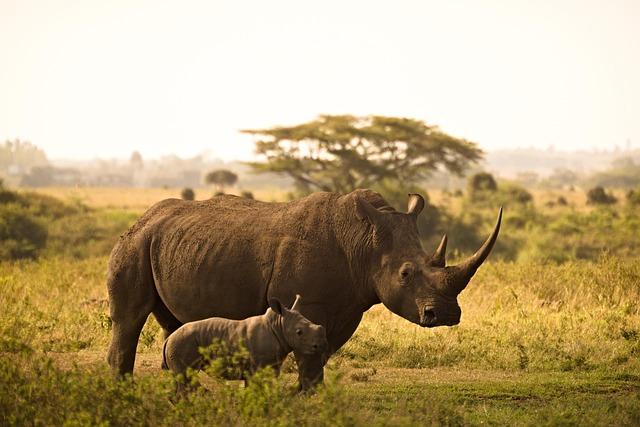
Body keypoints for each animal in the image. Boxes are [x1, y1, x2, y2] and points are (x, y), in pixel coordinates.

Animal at [162, 294, 327, 387]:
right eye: (299, 333)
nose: (320, 345)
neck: (278, 325)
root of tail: (168, 339)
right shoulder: (257, 367)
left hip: (179, 344)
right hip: (182, 344)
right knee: (186, 378)